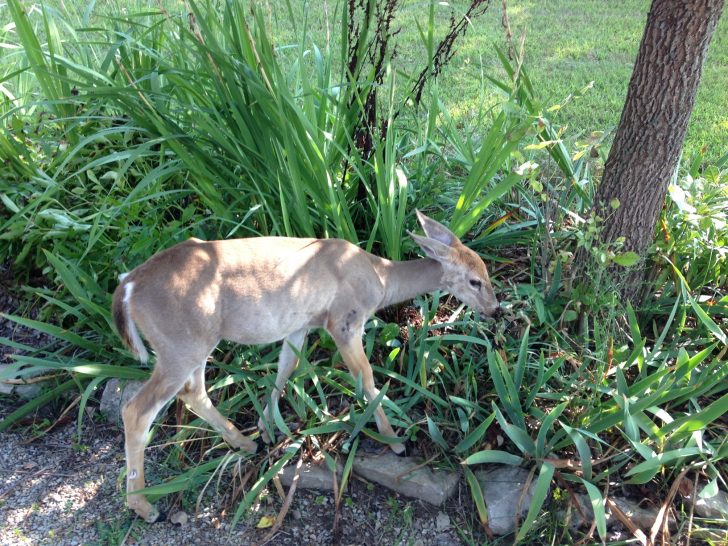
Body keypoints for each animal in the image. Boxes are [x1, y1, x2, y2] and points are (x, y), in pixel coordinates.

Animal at [112, 210, 499, 522]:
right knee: (136, 409)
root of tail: (128, 286)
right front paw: (394, 440)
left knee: (194, 394)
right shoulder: (344, 321)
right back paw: (145, 507)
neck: (379, 277)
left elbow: (286, 368)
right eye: (475, 280)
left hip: (193, 345)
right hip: (180, 345)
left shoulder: (300, 325)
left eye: (486, 269)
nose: (496, 309)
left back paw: (245, 444)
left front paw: (267, 427)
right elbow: (366, 378)